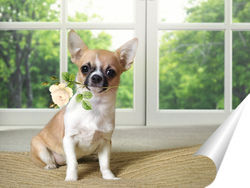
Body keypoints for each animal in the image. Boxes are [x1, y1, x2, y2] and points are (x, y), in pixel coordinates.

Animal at [30, 29, 139, 181]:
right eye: (85, 68)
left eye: (110, 72)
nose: (96, 77)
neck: (94, 106)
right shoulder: (69, 140)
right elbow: (73, 163)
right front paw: (71, 179)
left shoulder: (105, 142)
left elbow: (104, 164)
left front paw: (109, 177)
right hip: (39, 146)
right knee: (49, 160)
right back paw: (51, 165)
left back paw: (93, 157)